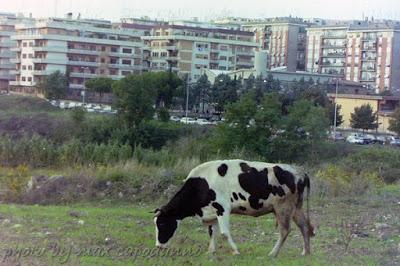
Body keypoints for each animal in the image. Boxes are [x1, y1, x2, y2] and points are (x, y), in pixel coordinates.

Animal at [155, 159, 314, 256]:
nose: (158, 246)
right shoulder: (213, 211)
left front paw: (236, 251)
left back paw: (273, 253)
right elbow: (212, 232)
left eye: (162, 223)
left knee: (285, 230)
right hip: (296, 207)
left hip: (283, 207)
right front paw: (211, 252)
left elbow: (224, 233)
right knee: (304, 226)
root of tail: (300, 171)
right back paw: (305, 253)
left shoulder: (222, 208)